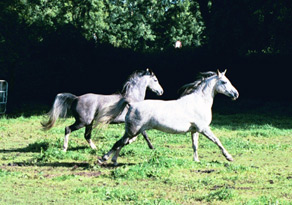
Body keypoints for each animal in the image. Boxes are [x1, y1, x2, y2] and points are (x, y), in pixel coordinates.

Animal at [99, 69, 238, 166]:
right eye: (224, 82)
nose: (236, 94)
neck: (199, 101)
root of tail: (132, 104)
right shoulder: (204, 128)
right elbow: (217, 141)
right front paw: (229, 157)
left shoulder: (195, 130)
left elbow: (195, 145)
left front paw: (196, 160)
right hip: (133, 130)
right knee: (120, 142)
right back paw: (103, 159)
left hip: (133, 131)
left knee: (122, 142)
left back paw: (114, 161)